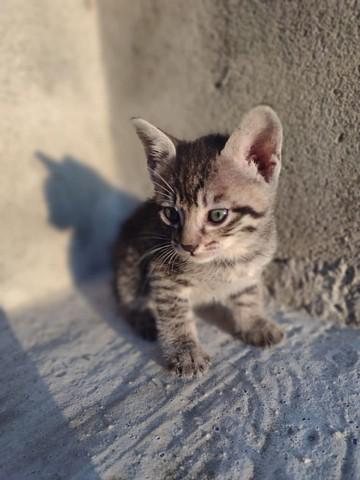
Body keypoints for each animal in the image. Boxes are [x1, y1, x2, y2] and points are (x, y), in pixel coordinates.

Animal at [114, 106, 284, 378]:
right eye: (171, 214)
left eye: (217, 215)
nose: (187, 246)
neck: (225, 259)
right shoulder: (162, 273)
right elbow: (175, 314)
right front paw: (186, 352)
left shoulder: (251, 267)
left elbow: (248, 294)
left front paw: (254, 323)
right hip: (129, 261)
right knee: (127, 297)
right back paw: (143, 318)